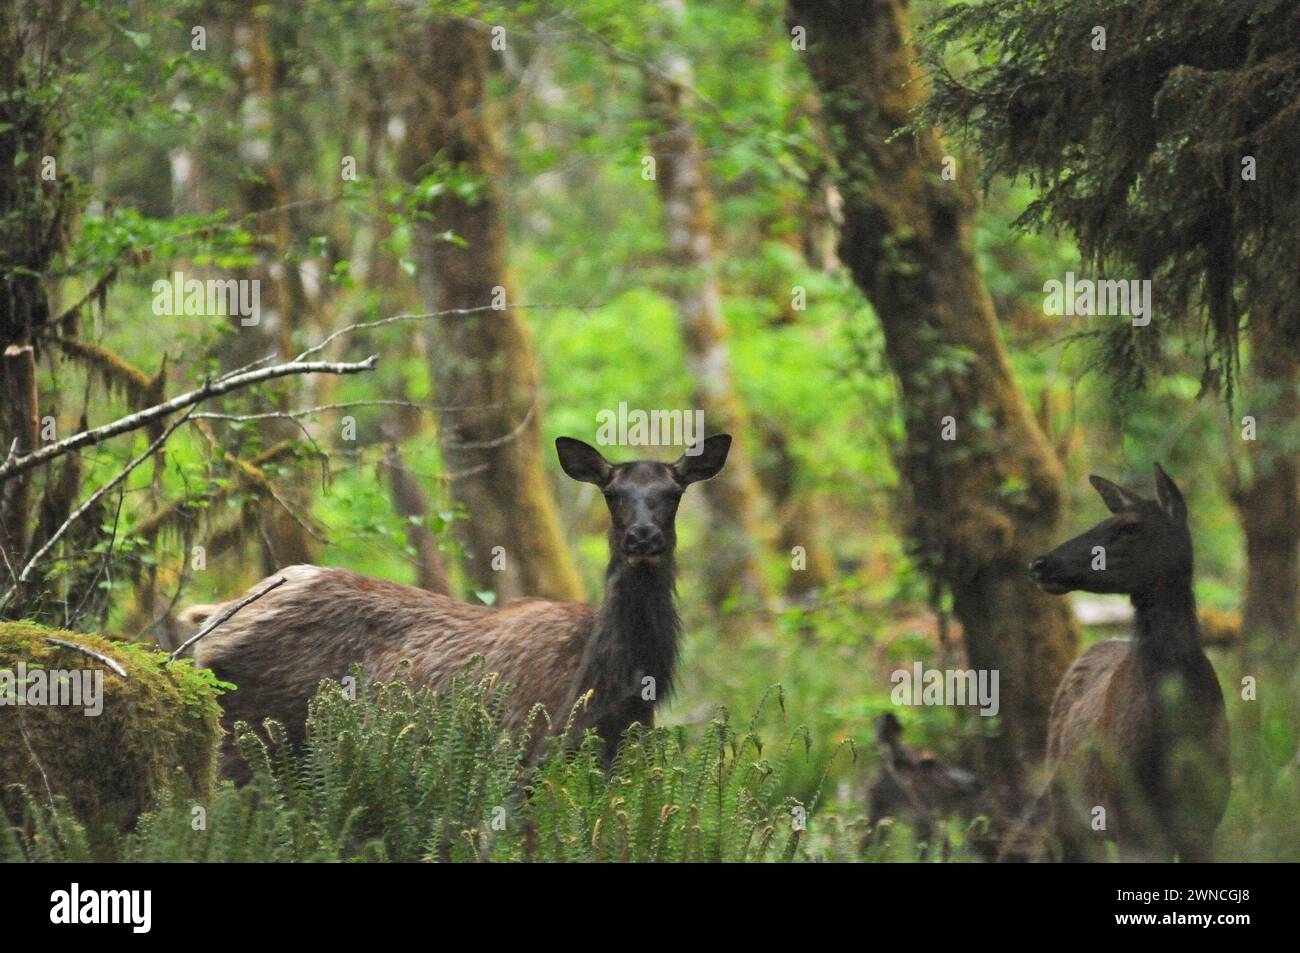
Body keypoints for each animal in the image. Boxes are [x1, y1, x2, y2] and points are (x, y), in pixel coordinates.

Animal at [182, 434, 733, 774]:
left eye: (674, 491)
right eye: (613, 493)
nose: (642, 537)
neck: (615, 677)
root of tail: (210, 618)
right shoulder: (525, 749)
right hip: (248, 741)